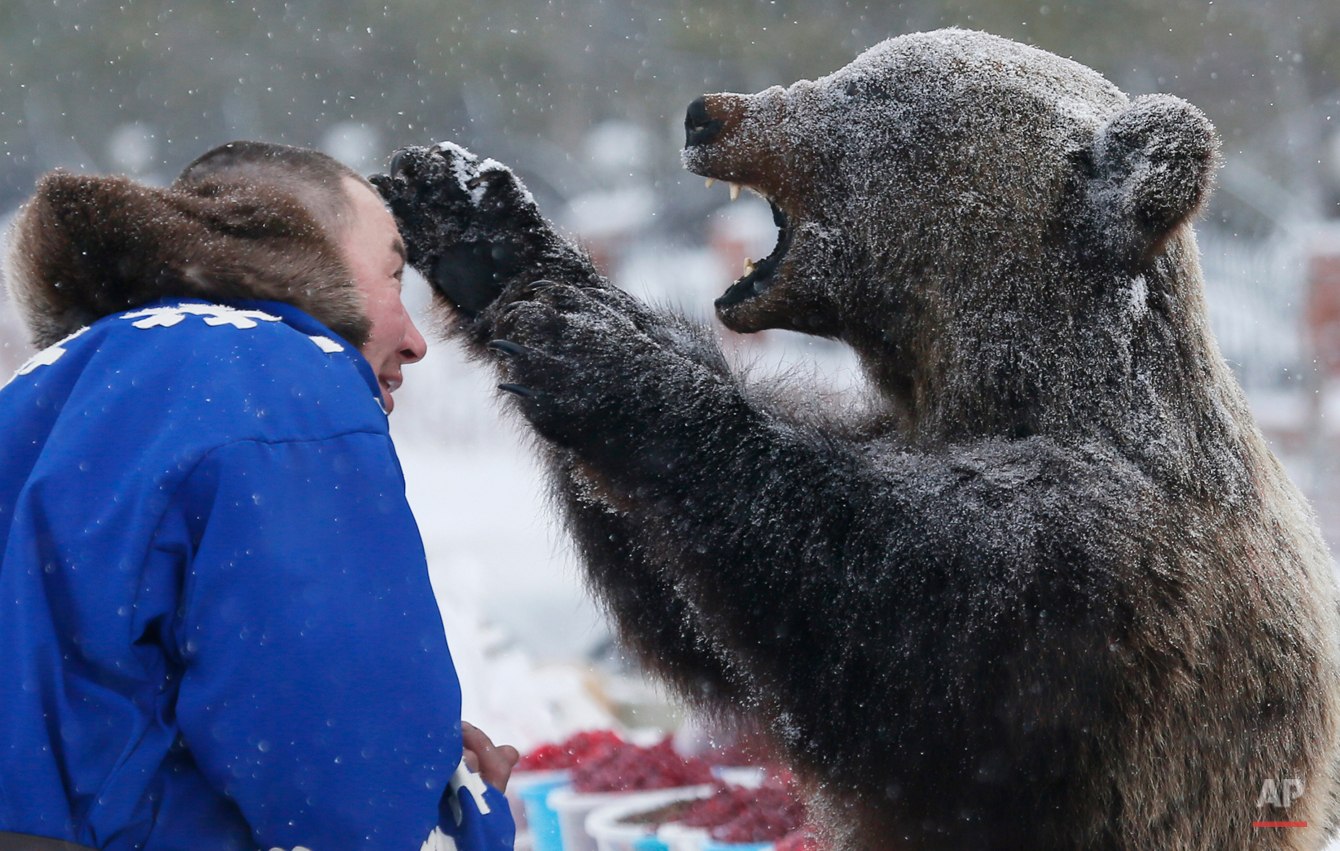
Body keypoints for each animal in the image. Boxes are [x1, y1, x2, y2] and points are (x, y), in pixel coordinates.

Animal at [372, 28, 1340, 851]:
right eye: (855, 69)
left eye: (870, 93)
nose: (705, 113)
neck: (998, 387)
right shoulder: (890, 429)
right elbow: (696, 626)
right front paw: (481, 231)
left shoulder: (1097, 570)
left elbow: (872, 623)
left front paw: (603, 356)